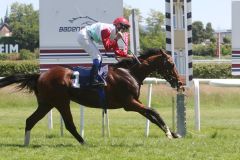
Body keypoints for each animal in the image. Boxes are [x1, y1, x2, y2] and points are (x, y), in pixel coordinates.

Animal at [0, 48, 184, 145]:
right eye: (171, 64)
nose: (180, 82)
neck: (130, 72)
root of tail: (40, 75)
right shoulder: (129, 103)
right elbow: (154, 111)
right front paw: (170, 133)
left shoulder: (134, 102)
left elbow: (151, 116)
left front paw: (174, 133)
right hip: (61, 101)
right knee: (69, 124)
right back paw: (84, 142)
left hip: (47, 103)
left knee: (30, 120)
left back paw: (26, 143)